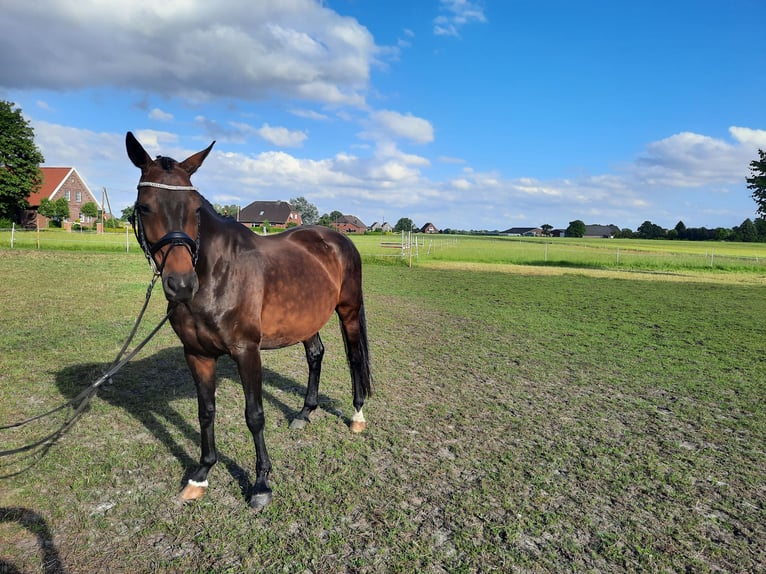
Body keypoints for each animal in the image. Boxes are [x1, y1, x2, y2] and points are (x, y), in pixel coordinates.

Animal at [126, 133, 376, 510]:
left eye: (195, 209)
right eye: (144, 207)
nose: (181, 284)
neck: (216, 272)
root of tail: (338, 237)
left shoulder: (247, 351)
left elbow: (254, 415)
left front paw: (260, 484)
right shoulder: (197, 355)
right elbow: (206, 412)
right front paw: (201, 475)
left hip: (347, 310)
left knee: (355, 356)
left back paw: (357, 416)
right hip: (306, 319)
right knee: (315, 354)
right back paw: (304, 413)